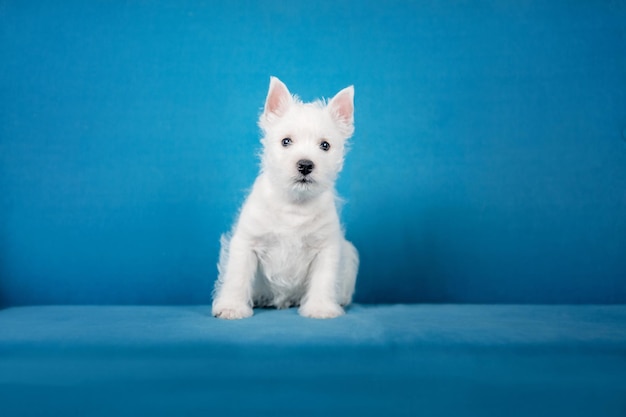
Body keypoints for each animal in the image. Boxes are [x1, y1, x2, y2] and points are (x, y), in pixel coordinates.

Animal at [210, 75, 356, 318]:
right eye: (286, 141)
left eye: (325, 145)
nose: (305, 165)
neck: (294, 204)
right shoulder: (247, 243)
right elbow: (237, 277)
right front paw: (232, 307)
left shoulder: (326, 248)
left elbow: (324, 279)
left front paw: (321, 308)